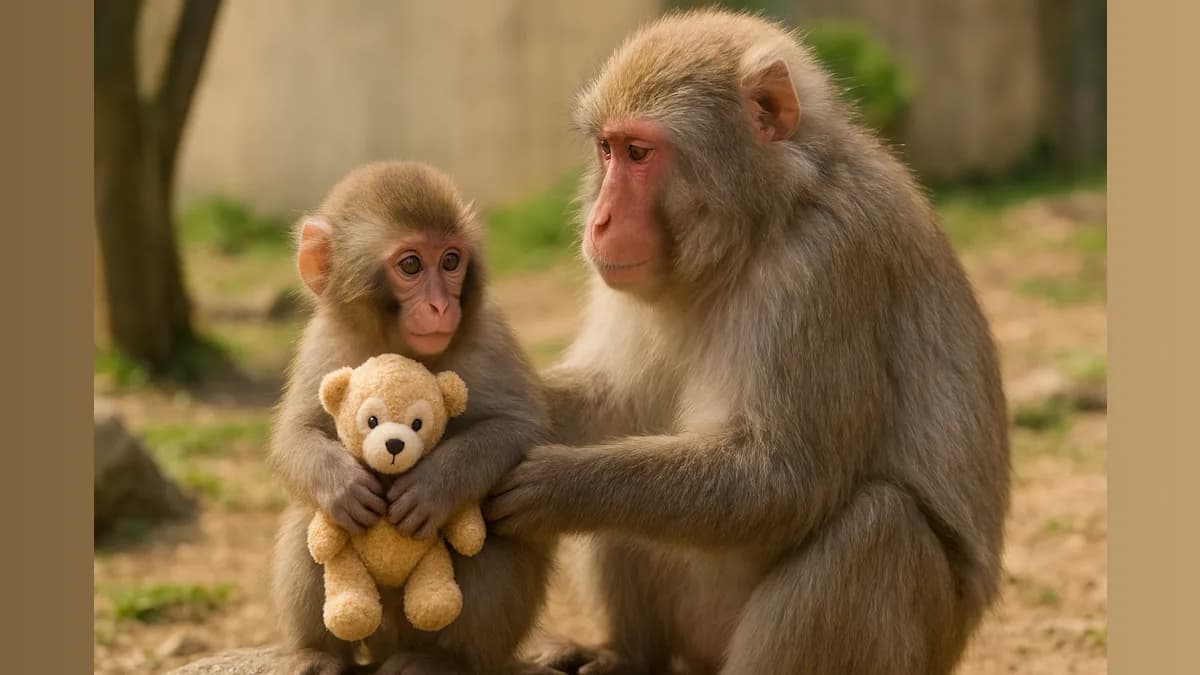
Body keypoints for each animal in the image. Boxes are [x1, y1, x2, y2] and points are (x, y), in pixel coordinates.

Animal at [267, 161, 555, 675]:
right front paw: (342, 483)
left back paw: (441, 659)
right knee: (309, 521)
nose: (442, 306)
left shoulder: (488, 335)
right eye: (411, 265)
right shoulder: (324, 342)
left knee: (491, 541)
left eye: (451, 261)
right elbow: (295, 434)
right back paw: (320, 653)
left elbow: (521, 427)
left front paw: (433, 486)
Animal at [485, 10, 1010, 675]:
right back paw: (624, 655)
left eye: (639, 153)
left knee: (876, 528)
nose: (597, 221)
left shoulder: (823, 264)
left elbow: (786, 479)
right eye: (606, 149)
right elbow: (614, 399)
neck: (762, 222)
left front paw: (561, 487)